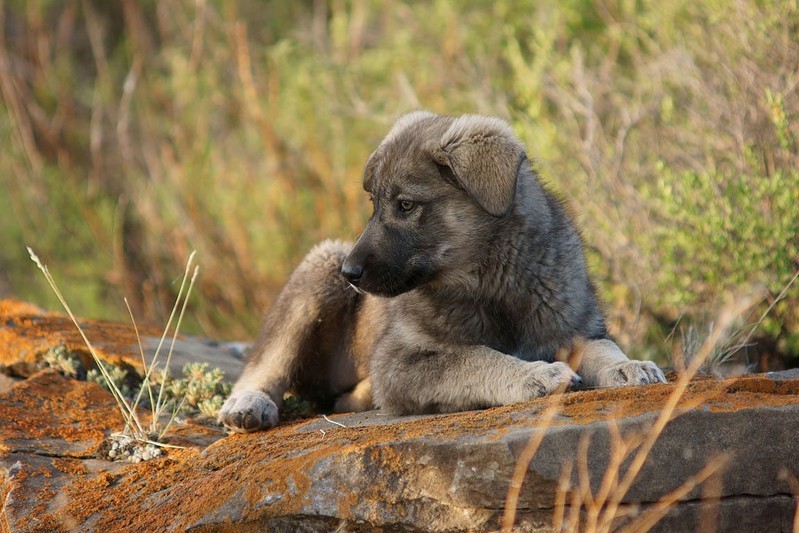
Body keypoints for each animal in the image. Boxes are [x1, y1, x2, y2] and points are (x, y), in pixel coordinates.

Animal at [217, 112, 664, 432]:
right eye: (374, 204)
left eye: (405, 205)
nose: (351, 274)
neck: (492, 279)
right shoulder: (399, 362)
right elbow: (473, 357)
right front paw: (533, 375)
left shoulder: (573, 325)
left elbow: (601, 347)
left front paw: (630, 365)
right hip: (319, 269)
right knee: (267, 360)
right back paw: (248, 404)